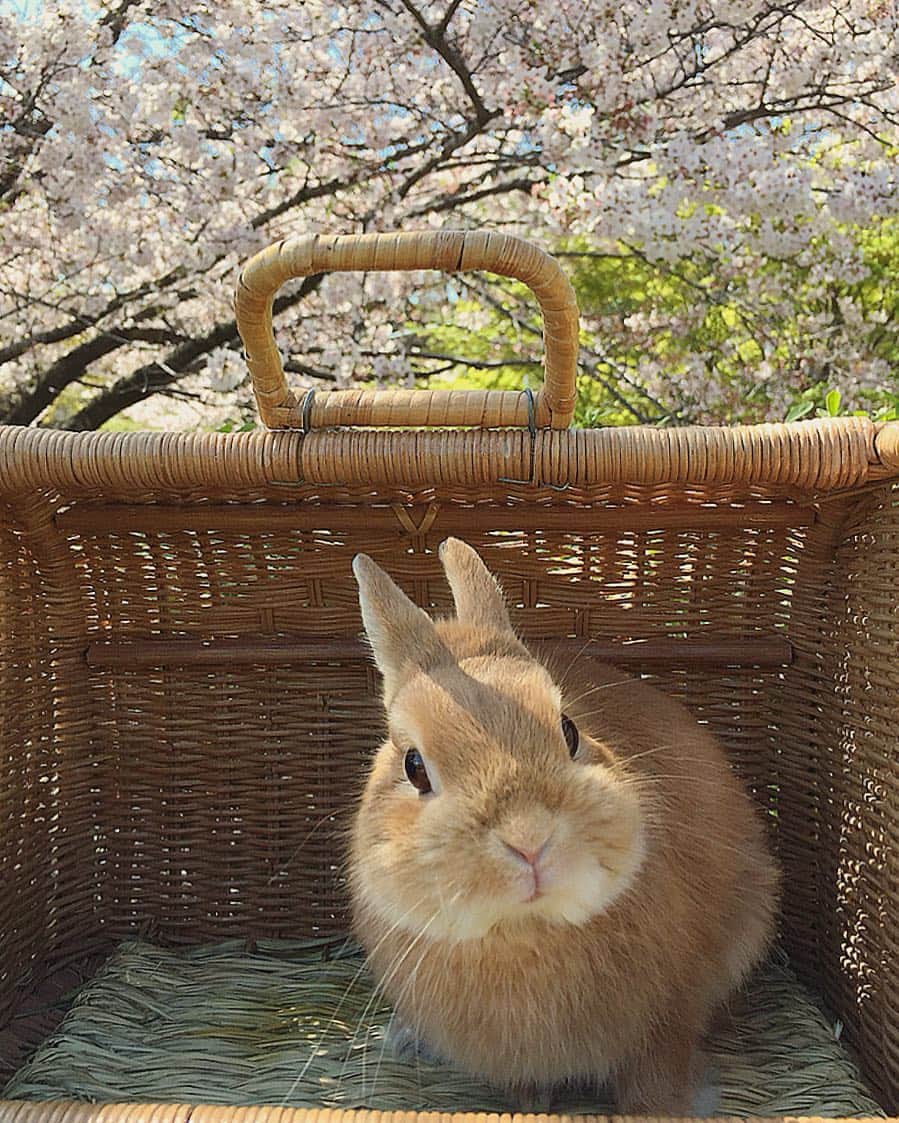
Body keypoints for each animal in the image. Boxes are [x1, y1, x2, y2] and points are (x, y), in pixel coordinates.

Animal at [349, 537, 780, 1114]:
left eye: (570, 731)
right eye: (414, 767)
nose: (530, 840)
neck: (526, 931)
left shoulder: (669, 1022)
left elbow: (656, 1079)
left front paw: (670, 1110)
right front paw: (526, 1107)